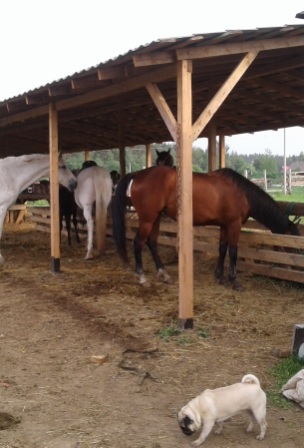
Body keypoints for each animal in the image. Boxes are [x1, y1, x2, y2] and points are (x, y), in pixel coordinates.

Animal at [111, 166, 300, 288]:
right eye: (291, 244)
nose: (297, 267)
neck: (242, 193)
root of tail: (138, 174)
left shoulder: (225, 225)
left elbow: (222, 249)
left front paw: (220, 277)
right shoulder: (234, 225)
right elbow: (233, 251)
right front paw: (234, 280)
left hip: (156, 218)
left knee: (152, 242)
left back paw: (163, 274)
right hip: (147, 219)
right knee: (138, 243)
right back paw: (142, 277)